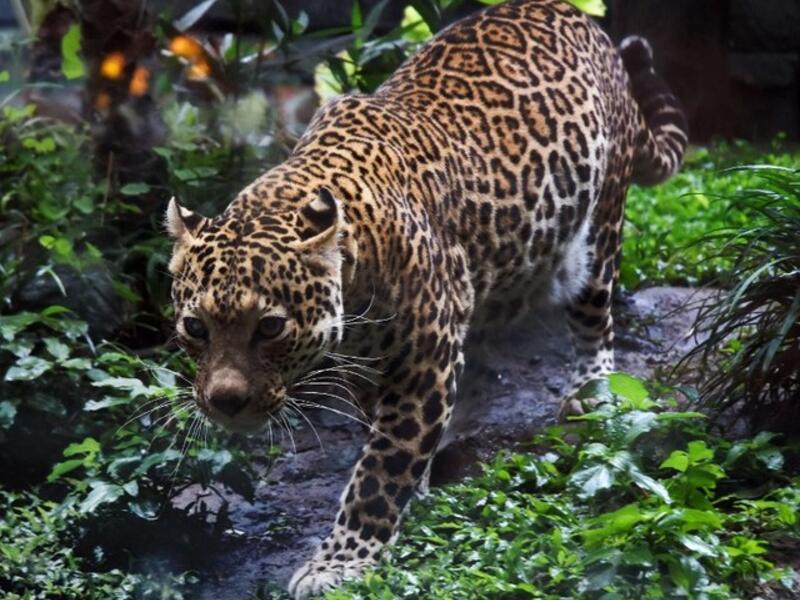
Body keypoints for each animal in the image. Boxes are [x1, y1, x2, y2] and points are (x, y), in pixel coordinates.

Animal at [164, 0, 687, 597]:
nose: (225, 402)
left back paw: (591, 389)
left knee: (593, 315)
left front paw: (339, 563)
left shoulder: (425, 357)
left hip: (598, 229)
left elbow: (381, 468)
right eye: (196, 328)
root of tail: (580, 19)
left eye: (270, 327)